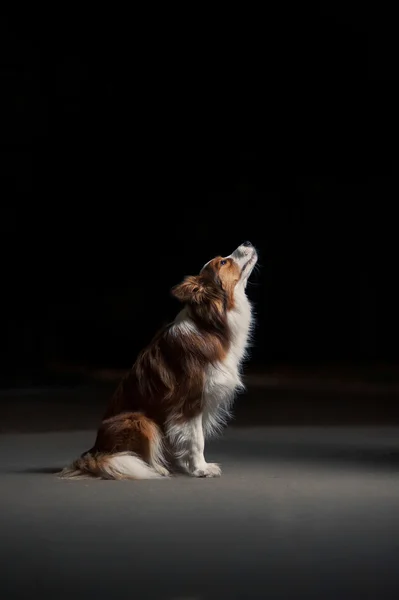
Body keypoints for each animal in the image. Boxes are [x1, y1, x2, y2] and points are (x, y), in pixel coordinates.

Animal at [59, 241, 260, 480]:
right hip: (139, 420)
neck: (209, 325)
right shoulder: (191, 400)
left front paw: (188, 466)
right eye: (223, 262)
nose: (248, 242)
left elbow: (188, 439)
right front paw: (201, 469)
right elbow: (197, 439)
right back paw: (157, 468)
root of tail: (96, 450)